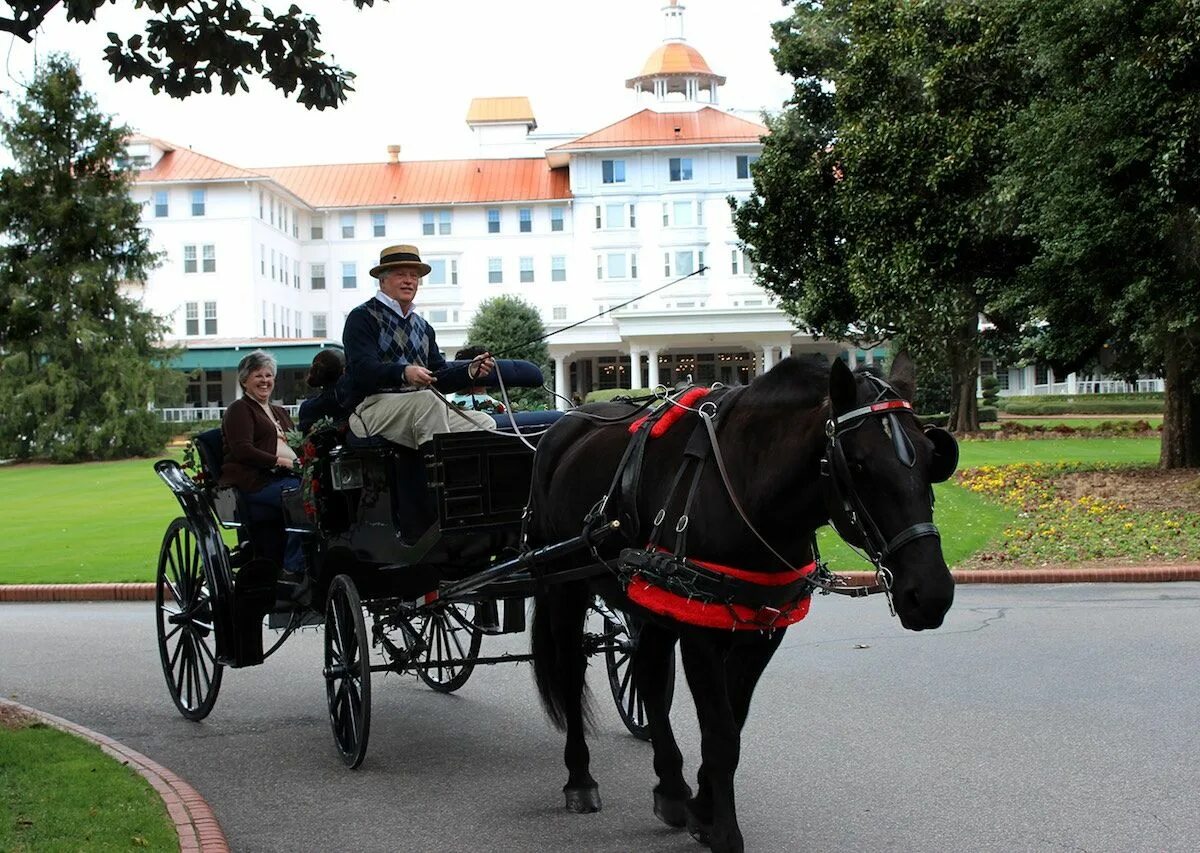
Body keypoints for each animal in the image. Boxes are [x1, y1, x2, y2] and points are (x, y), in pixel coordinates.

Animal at [530, 352, 960, 853]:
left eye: (932, 458)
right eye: (857, 465)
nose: (931, 593)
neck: (745, 484)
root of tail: (564, 424)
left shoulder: (762, 627)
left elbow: (732, 722)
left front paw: (702, 808)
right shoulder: (698, 629)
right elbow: (719, 733)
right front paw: (724, 831)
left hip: (651, 598)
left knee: (650, 675)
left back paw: (671, 788)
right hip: (565, 586)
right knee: (571, 671)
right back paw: (580, 777)